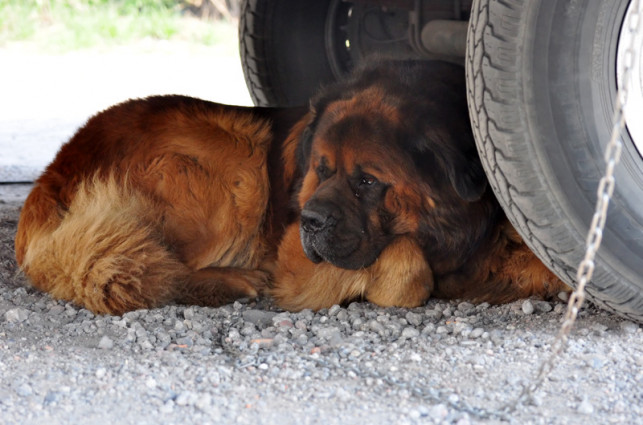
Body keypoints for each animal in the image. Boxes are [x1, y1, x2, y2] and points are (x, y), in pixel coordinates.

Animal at [13, 59, 568, 314]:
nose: (312, 221)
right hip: (232, 154)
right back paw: (232, 280)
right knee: (149, 268)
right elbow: (407, 269)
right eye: (320, 168)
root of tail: (55, 168)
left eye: (367, 181)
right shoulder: (297, 259)